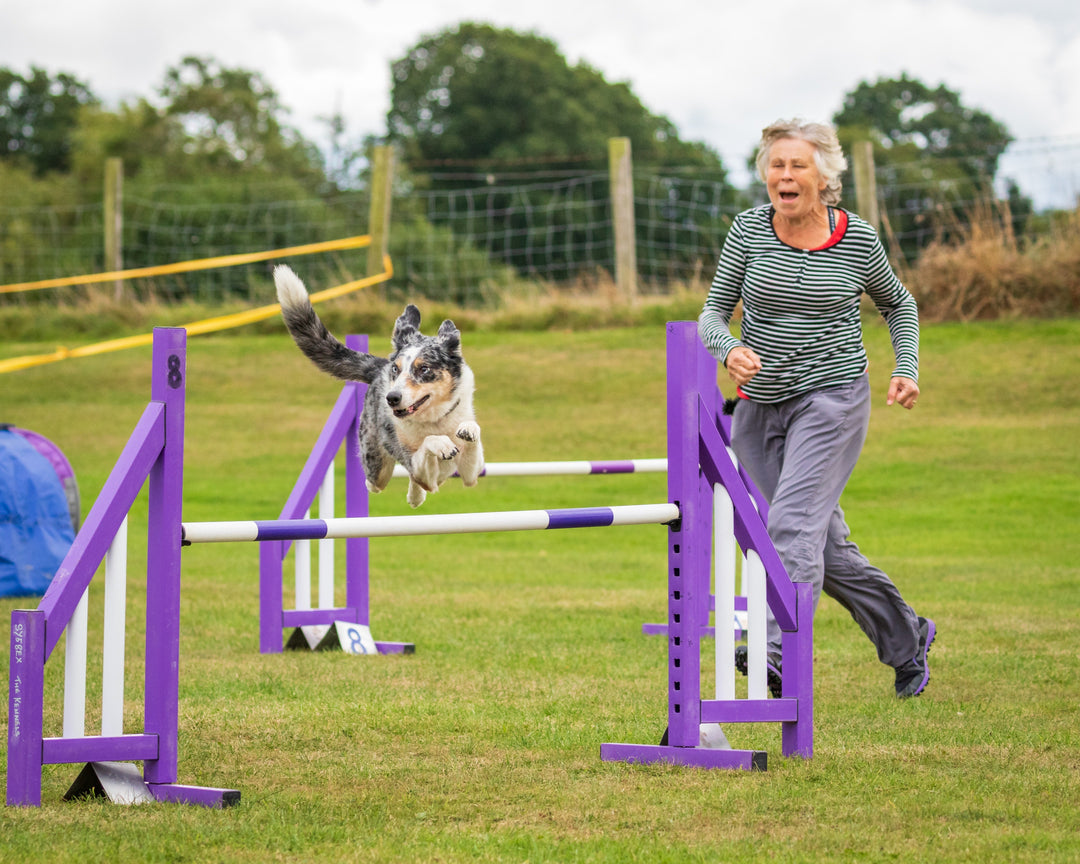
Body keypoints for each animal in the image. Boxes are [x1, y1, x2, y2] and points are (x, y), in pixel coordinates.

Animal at [274, 263, 486, 505]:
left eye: (423, 369)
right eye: (397, 369)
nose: (392, 398)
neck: (434, 420)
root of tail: (379, 366)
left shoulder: (470, 473)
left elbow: (472, 441)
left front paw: (468, 430)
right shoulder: (418, 468)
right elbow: (427, 445)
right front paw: (441, 443)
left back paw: (415, 497)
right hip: (377, 467)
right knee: (374, 482)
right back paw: (411, 495)